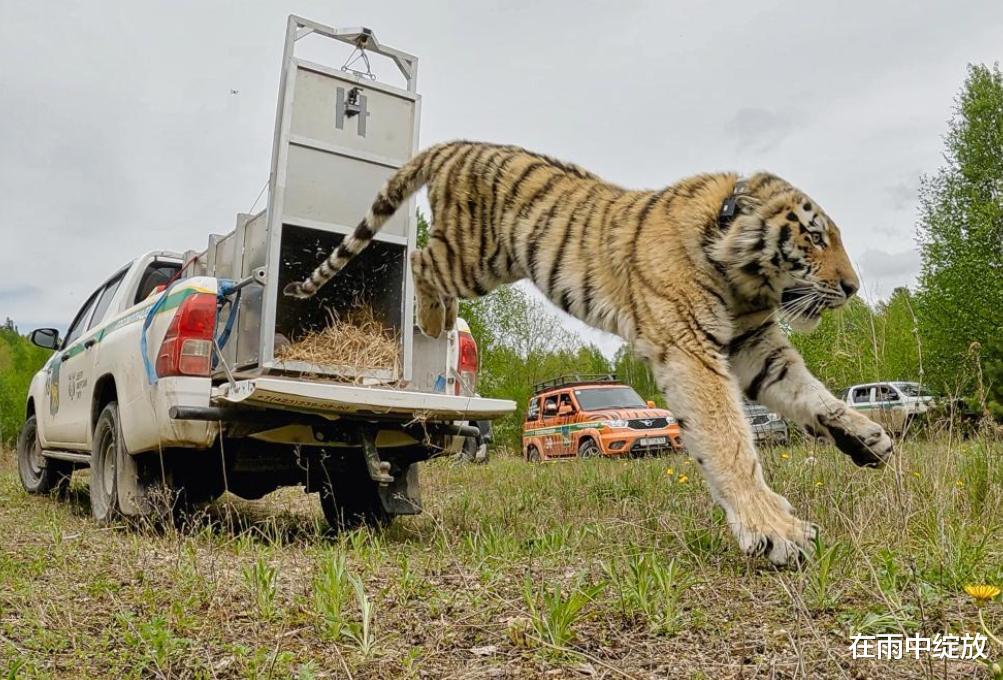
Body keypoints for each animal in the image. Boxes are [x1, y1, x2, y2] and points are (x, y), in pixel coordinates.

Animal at [282, 141, 894, 565]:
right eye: (815, 238)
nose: (853, 287)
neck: (741, 276)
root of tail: (457, 144)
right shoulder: (691, 346)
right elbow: (728, 437)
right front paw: (775, 531)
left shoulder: (754, 345)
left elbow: (811, 394)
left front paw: (868, 437)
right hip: (476, 254)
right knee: (420, 261)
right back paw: (435, 319)